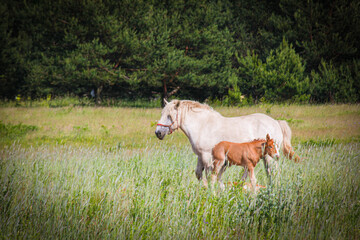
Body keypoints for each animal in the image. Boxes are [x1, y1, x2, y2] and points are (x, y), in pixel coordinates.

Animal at [155, 100, 296, 188]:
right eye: (162, 114)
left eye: (169, 116)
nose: (158, 133)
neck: (202, 125)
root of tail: (276, 122)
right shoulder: (200, 156)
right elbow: (199, 174)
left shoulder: (207, 157)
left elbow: (209, 175)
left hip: (269, 157)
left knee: (273, 173)